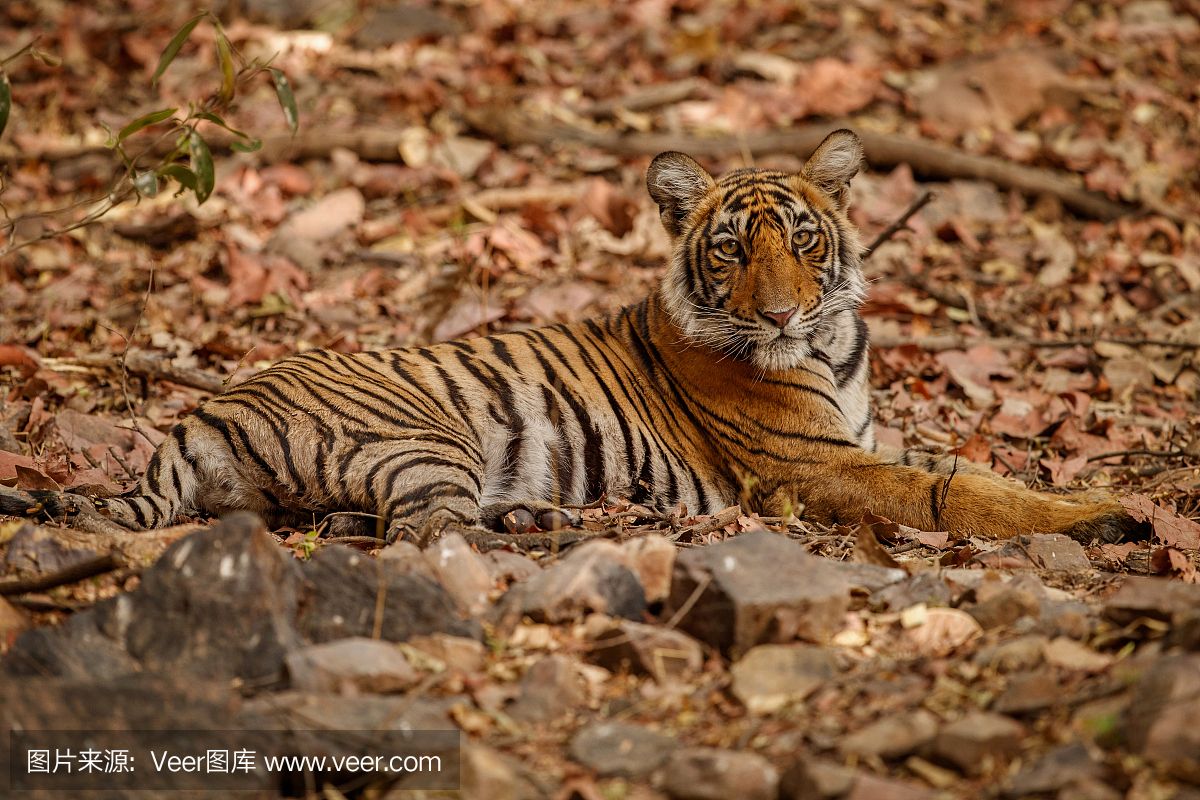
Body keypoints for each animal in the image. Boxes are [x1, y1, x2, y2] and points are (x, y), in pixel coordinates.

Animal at [75, 131, 1132, 544]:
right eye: (732, 249)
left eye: (801, 239)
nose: (781, 314)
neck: (833, 347)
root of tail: (201, 411)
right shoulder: (817, 467)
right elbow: (956, 494)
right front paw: (1106, 513)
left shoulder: (858, 439)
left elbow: (969, 470)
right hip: (426, 440)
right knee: (422, 536)